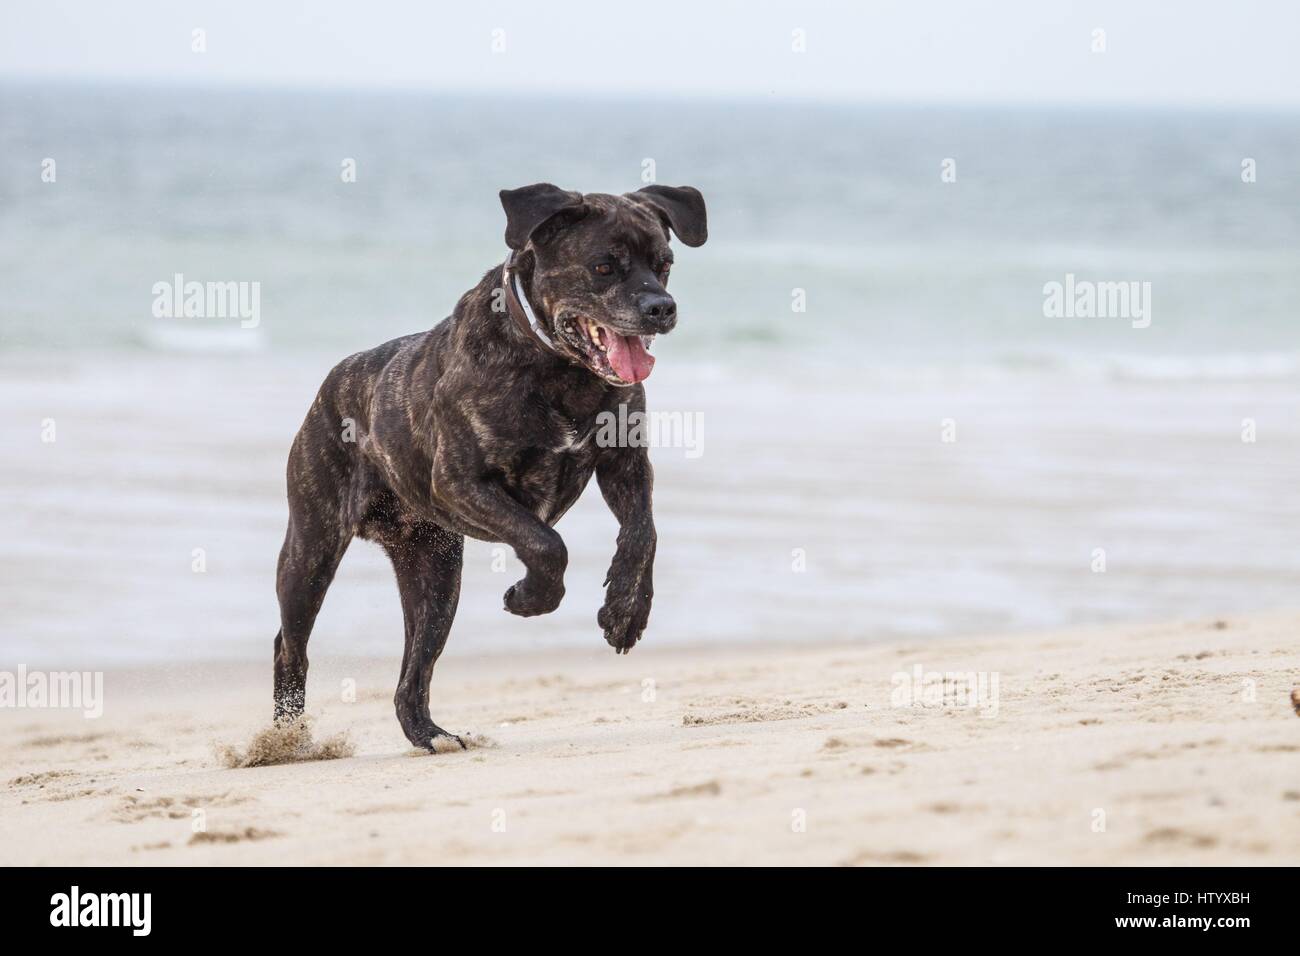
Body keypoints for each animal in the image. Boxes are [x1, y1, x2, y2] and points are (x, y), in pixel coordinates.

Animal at [267, 179, 707, 749]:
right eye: (604, 266)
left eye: (665, 263)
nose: (662, 307)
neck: (559, 368)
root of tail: (332, 383)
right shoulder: (462, 482)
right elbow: (547, 543)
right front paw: (531, 597)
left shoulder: (625, 462)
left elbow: (643, 533)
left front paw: (626, 612)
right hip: (311, 548)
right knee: (288, 643)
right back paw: (286, 739)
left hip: (435, 575)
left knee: (414, 669)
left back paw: (430, 733)